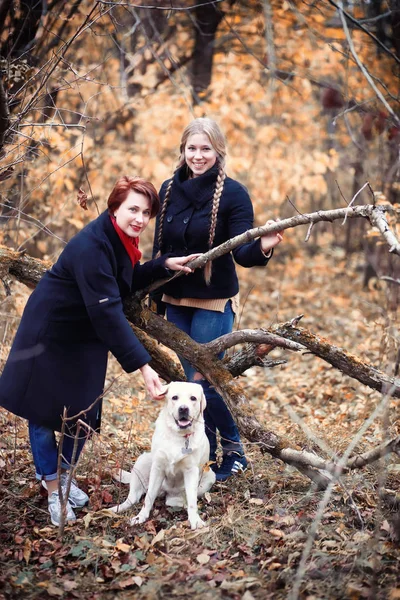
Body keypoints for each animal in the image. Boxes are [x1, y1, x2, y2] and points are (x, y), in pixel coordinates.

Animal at [109, 382, 216, 528]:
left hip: (210, 476)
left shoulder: (191, 471)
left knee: (176, 501)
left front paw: (195, 520)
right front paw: (141, 517)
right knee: (134, 498)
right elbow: (148, 498)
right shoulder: (158, 467)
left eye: (193, 398)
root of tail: (166, 492)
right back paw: (115, 510)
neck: (178, 435)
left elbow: (192, 501)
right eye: (175, 397)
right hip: (143, 461)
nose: (183, 408)